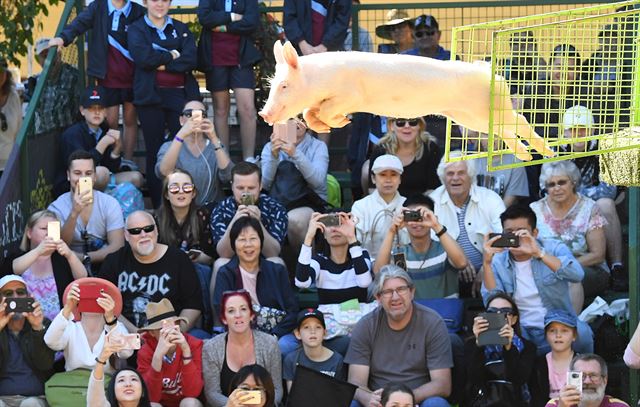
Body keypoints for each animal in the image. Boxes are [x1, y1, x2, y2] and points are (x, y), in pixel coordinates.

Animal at [258, 40, 552, 162]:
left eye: (285, 85)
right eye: (271, 85)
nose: (264, 114)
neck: (320, 79)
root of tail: (490, 72)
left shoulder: (350, 95)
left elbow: (329, 108)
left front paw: (340, 121)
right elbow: (310, 113)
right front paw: (329, 125)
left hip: (489, 108)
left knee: (519, 119)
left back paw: (546, 152)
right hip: (470, 117)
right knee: (503, 130)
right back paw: (525, 156)